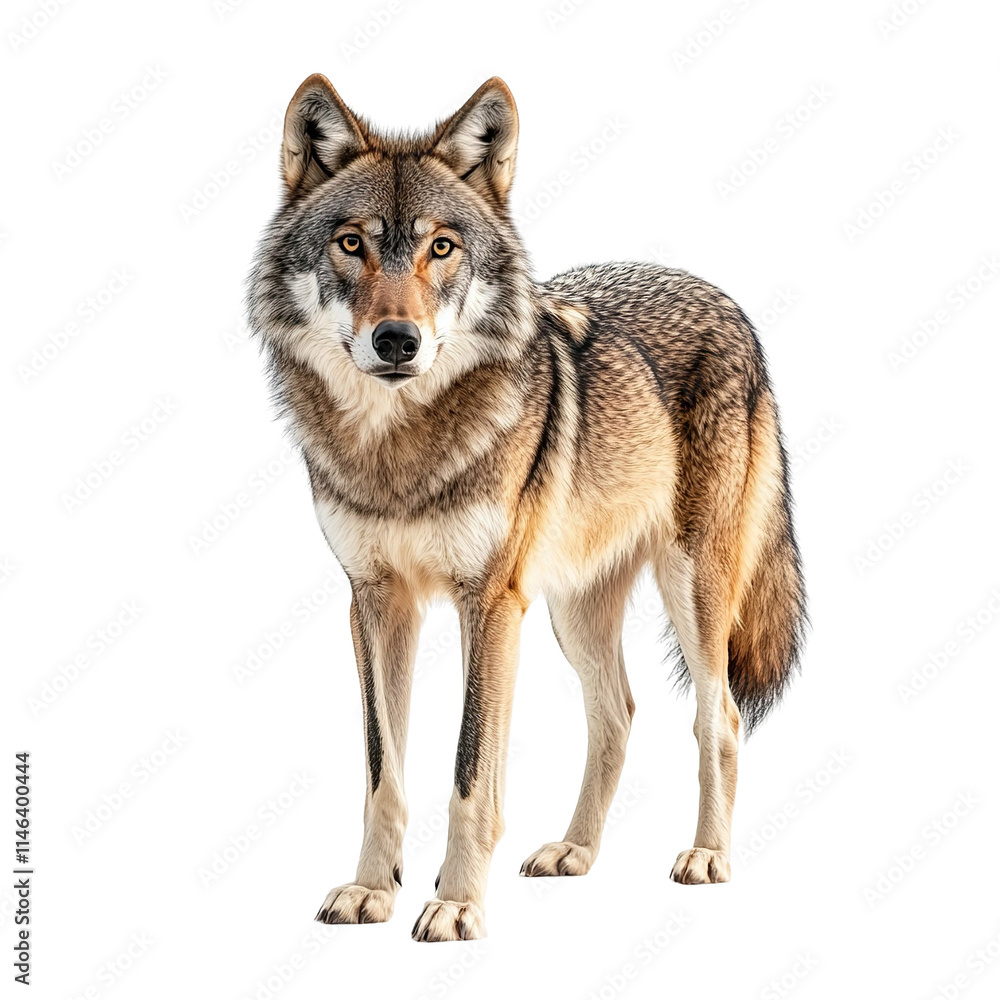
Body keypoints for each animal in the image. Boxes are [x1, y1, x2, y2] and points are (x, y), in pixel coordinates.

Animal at [246, 74, 806, 941]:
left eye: (442, 248)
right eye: (352, 244)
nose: (398, 341)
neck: (399, 451)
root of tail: (728, 302)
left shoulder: (488, 604)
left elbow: (469, 772)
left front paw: (455, 903)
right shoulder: (375, 602)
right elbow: (383, 772)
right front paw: (374, 890)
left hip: (694, 591)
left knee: (721, 718)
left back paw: (707, 856)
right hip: (573, 613)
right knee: (618, 715)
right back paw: (575, 851)